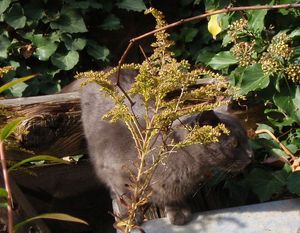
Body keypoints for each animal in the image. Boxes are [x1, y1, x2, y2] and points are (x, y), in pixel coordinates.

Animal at [79, 70, 253, 226]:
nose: (252, 154)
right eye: (234, 144)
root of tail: (104, 71)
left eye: (246, 137)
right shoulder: (116, 171)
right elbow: (125, 195)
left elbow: (170, 196)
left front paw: (178, 211)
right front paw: (130, 216)